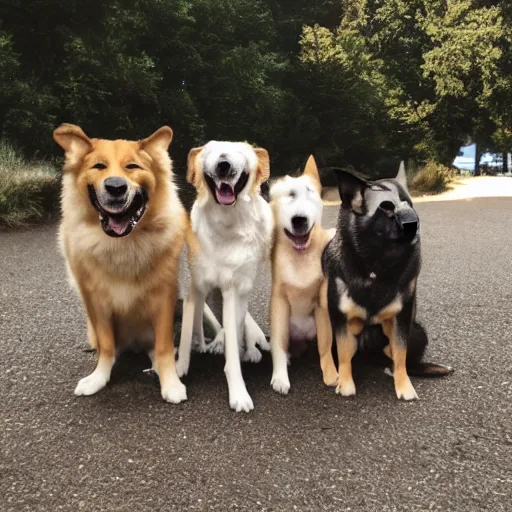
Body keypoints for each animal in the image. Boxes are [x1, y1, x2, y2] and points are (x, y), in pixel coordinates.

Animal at [176, 140, 272, 412]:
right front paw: (178, 369)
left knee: (241, 334)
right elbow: (187, 334)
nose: (224, 165)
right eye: (210, 151)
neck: (226, 223)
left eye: (241, 152)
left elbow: (233, 345)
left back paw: (249, 350)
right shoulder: (195, 288)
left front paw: (238, 393)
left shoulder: (234, 290)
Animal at [324, 164, 452, 400]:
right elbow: (344, 355)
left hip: (418, 332)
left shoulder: (401, 319)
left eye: (409, 204)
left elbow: (400, 355)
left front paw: (404, 387)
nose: (413, 224)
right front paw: (345, 384)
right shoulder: (341, 320)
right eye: (385, 208)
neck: (376, 264)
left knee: (399, 359)